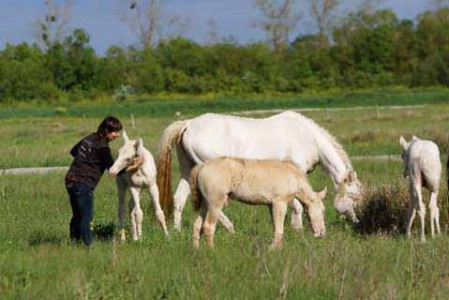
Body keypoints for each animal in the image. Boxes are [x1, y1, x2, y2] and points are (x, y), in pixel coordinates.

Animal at [158, 111, 364, 231]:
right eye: (353, 196)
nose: (358, 221)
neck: (308, 138)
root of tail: (188, 124)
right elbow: (297, 204)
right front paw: (297, 229)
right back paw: (230, 227)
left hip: (188, 171)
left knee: (179, 199)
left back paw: (177, 230)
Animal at [189, 157, 326, 248]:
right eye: (323, 210)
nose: (322, 233)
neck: (293, 177)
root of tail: (201, 166)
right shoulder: (279, 203)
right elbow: (279, 229)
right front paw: (272, 249)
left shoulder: (271, 205)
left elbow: (276, 227)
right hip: (215, 204)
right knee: (208, 227)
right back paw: (211, 250)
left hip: (206, 204)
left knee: (197, 225)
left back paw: (196, 249)